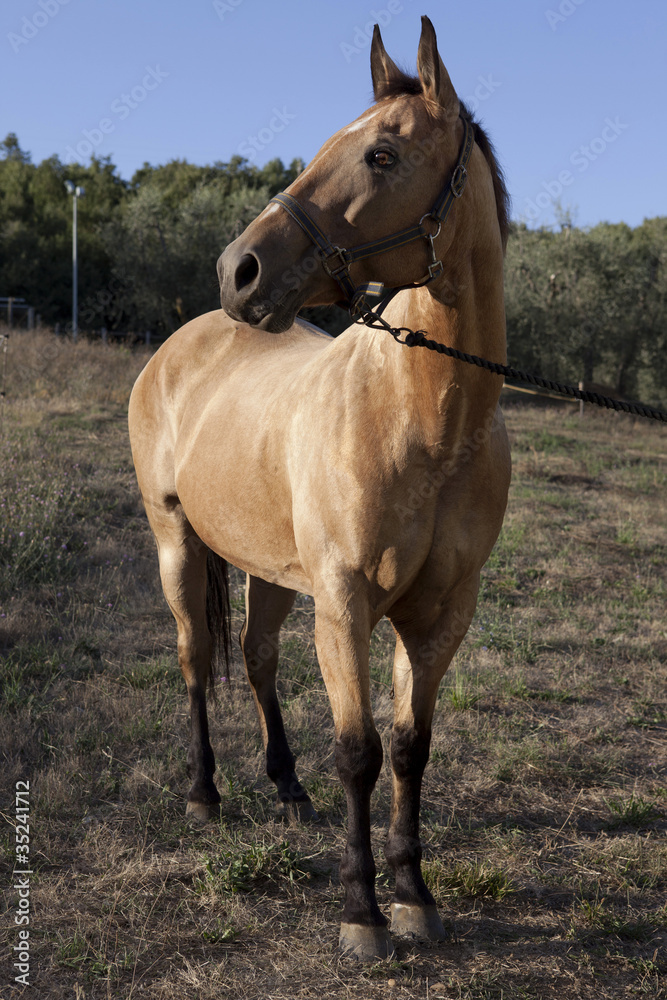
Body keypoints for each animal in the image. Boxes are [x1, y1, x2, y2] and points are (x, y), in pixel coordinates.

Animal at [128, 15, 511, 960]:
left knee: (257, 657)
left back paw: (286, 786)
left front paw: (413, 896)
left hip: (267, 569)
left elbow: (409, 748)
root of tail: (184, 342)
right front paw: (361, 912)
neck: (425, 420)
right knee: (195, 656)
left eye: (381, 154)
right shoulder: (343, 605)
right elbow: (358, 752)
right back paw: (205, 793)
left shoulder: (440, 614)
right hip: (175, 542)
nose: (239, 271)